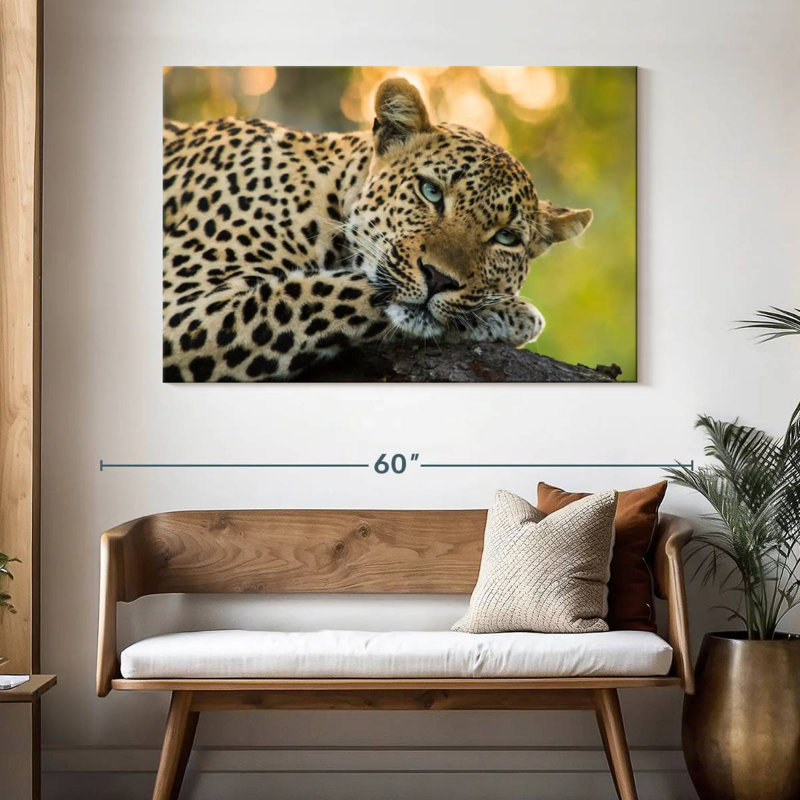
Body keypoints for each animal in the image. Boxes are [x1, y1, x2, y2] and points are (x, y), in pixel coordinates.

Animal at [162, 78, 592, 381]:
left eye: (506, 238)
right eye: (431, 191)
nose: (439, 279)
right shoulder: (184, 307)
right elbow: (327, 289)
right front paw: (513, 313)